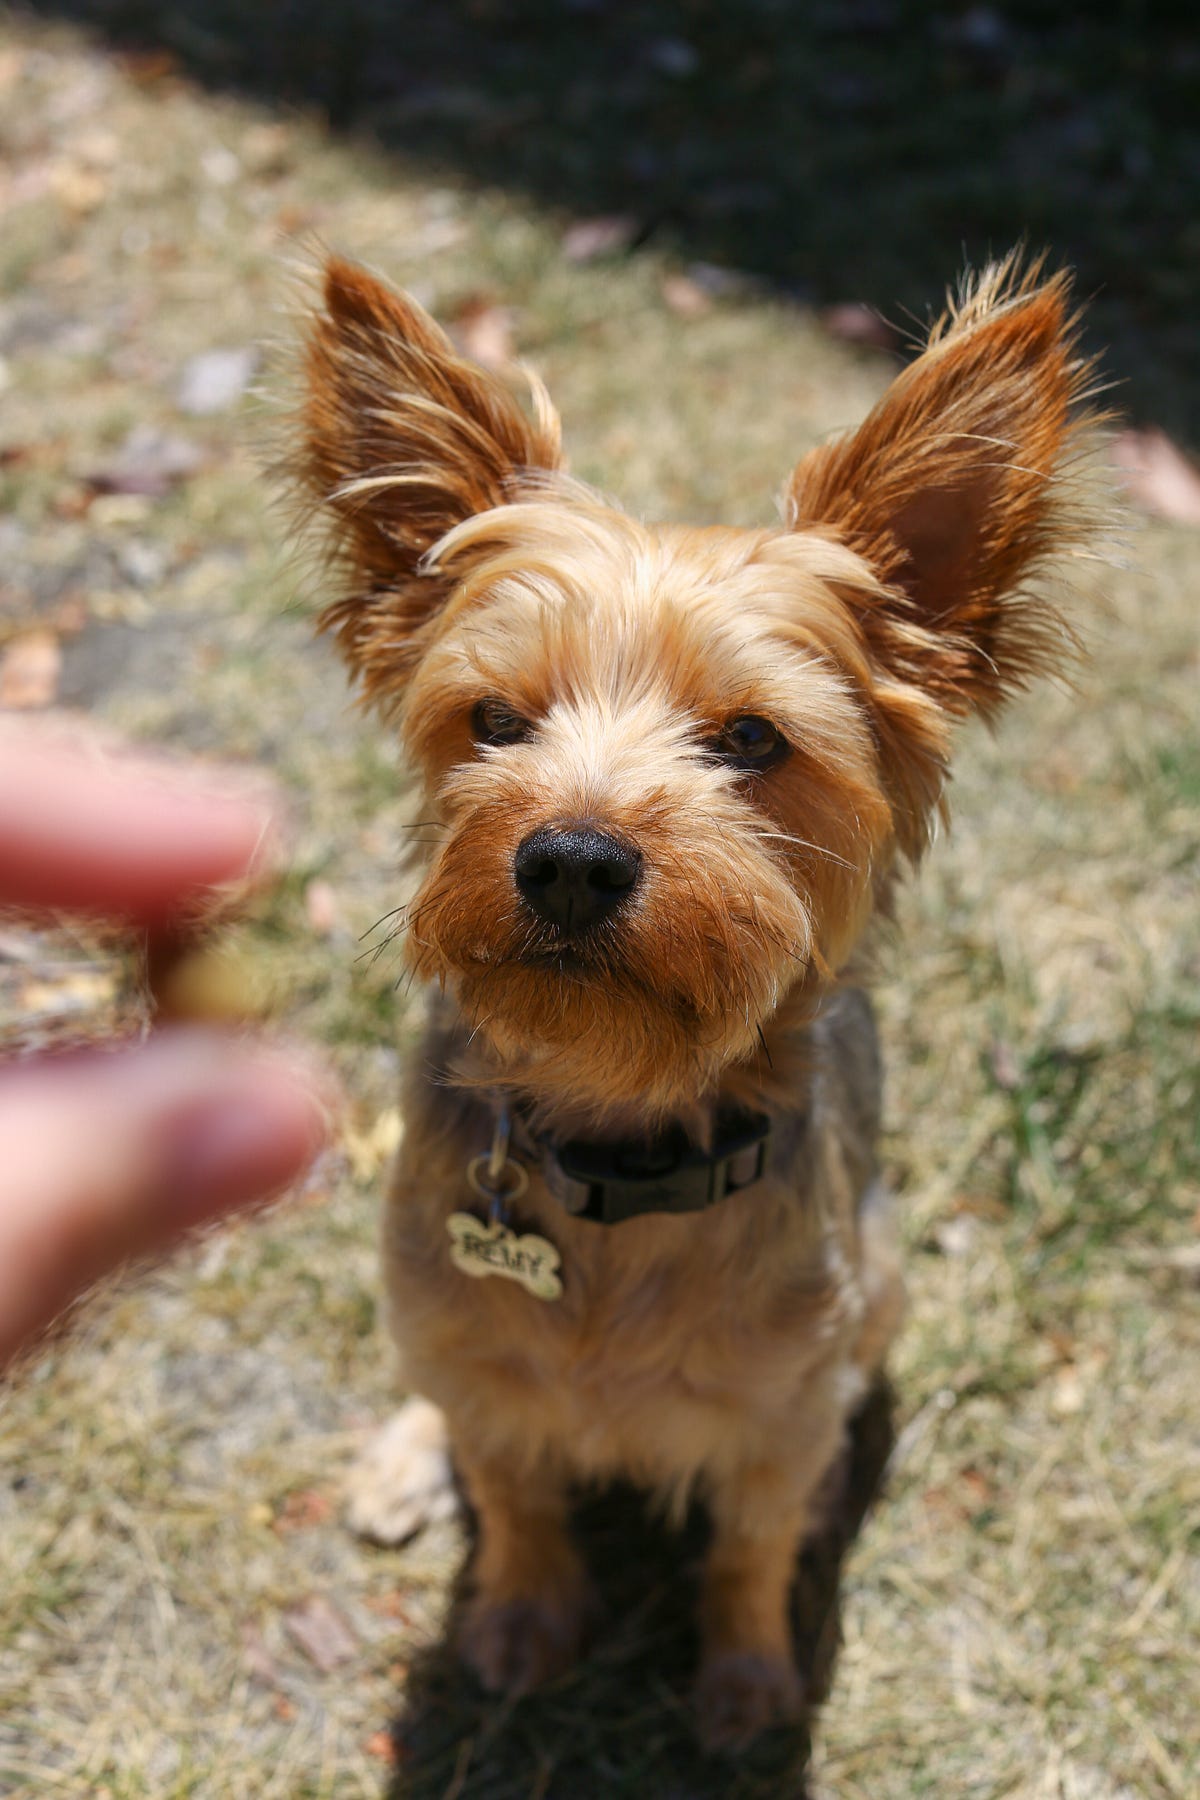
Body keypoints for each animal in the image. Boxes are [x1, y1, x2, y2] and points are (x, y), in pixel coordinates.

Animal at [293, 253, 1101, 1742]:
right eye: (494, 721)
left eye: (752, 740)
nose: (568, 858)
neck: (617, 1123)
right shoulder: (483, 1356)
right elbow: (511, 1484)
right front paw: (521, 1619)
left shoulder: (780, 1412)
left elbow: (750, 1542)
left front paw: (744, 1682)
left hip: (882, 1277)